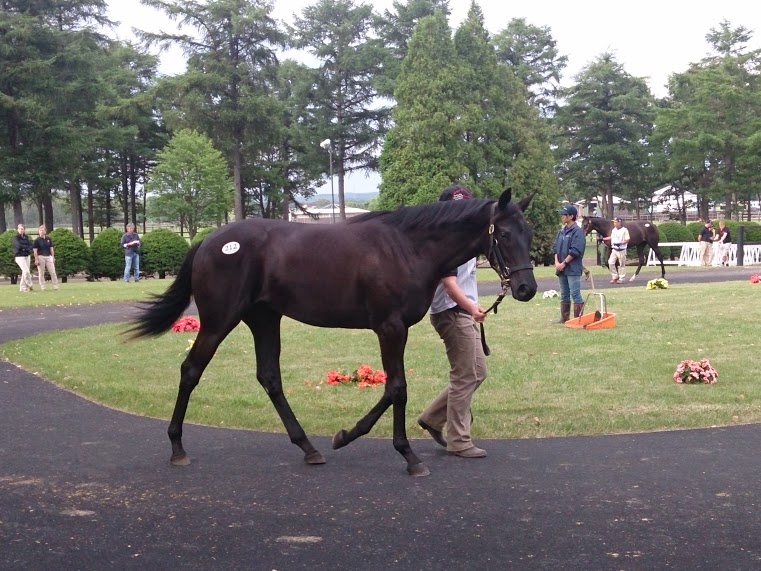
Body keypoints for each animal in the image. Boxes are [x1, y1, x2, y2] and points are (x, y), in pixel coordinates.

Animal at [127, 189, 536, 478]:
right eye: (503, 233)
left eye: (528, 234)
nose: (526, 288)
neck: (406, 247)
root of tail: (209, 241)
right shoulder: (390, 327)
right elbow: (397, 389)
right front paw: (407, 455)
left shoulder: (392, 329)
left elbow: (391, 389)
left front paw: (346, 435)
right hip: (218, 320)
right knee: (191, 370)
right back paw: (177, 447)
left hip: (264, 318)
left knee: (269, 377)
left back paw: (308, 447)